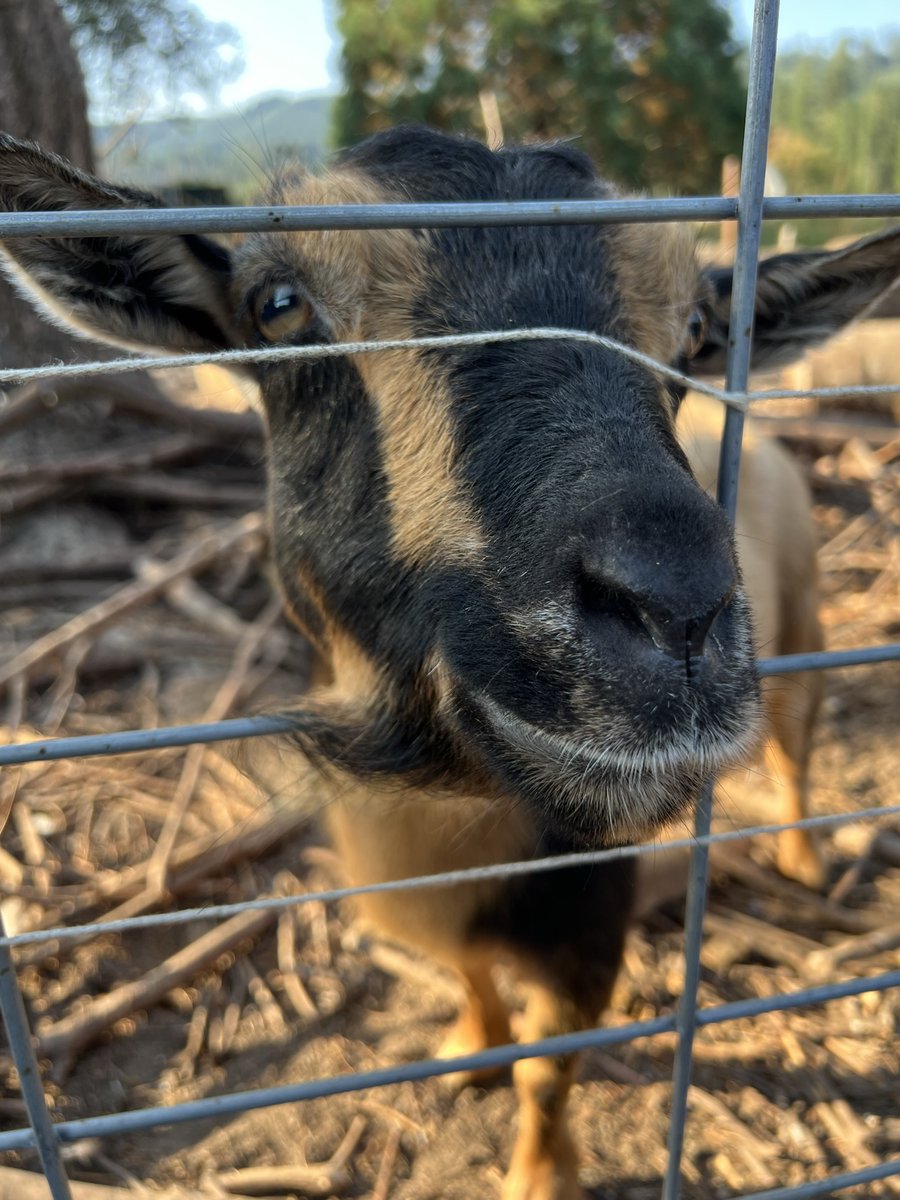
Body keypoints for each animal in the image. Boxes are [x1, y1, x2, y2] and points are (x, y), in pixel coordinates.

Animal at [2, 128, 898, 1199]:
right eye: (278, 304)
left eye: (693, 329)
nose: (676, 607)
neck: (447, 822)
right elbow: (469, 977)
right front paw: (473, 1045)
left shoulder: (587, 935)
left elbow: (551, 1073)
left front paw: (539, 1176)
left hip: (801, 626)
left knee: (798, 750)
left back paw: (803, 860)